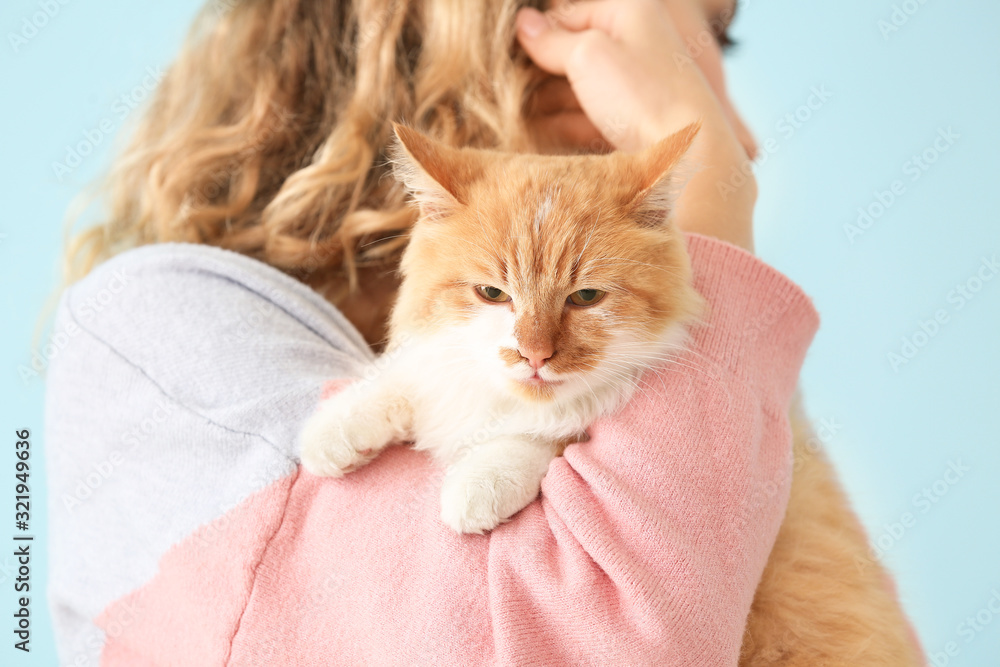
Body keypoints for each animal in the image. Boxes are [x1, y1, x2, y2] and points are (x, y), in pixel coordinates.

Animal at [296, 122, 704, 536]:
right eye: (492, 293)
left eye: (586, 297)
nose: (534, 355)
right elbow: (407, 376)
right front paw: (340, 425)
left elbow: (544, 435)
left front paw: (484, 478)